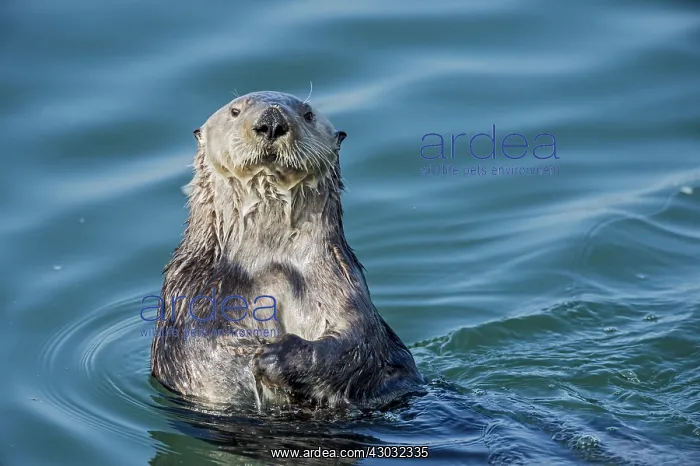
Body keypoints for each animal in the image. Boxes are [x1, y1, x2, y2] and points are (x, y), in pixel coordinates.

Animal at [150, 91, 424, 409]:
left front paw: (274, 355)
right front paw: (253, 355)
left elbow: (358, 345)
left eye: (308, 115)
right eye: (234, 111)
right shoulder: (190, 290)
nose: (271, 121)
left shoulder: (341, 277)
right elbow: (202, 350)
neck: (271, 264)